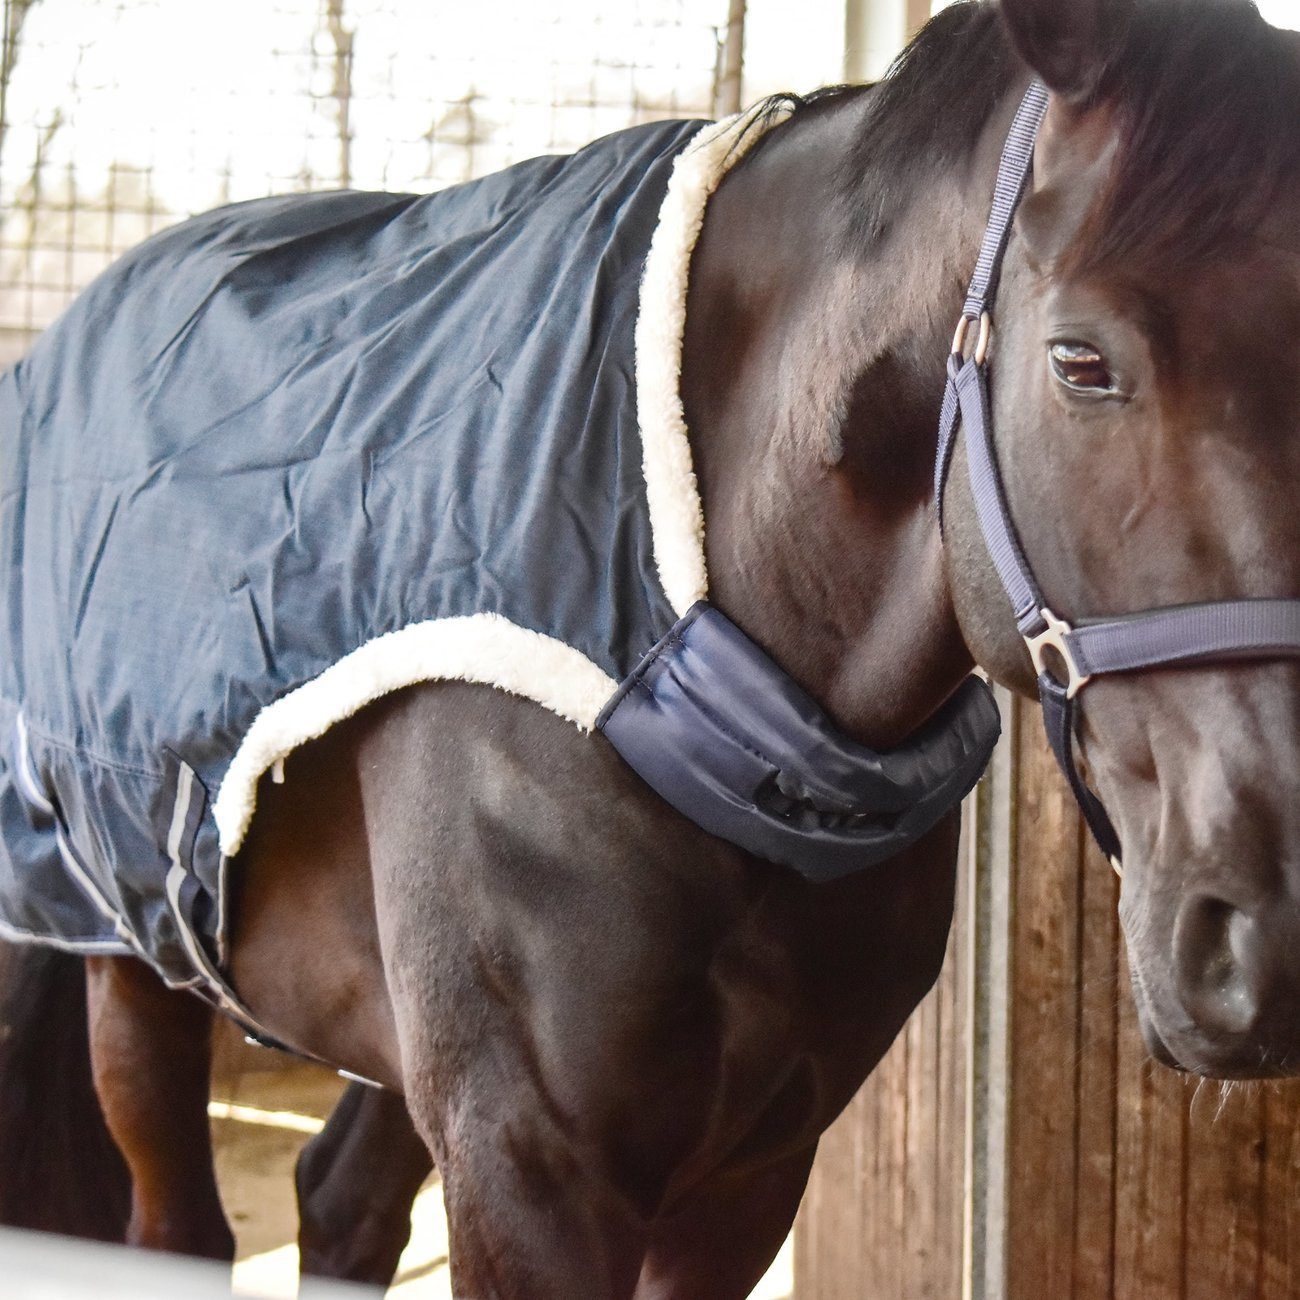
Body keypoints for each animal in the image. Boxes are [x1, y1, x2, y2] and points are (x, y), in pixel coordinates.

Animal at [2, 0, 1300, 1289]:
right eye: (1080, 360)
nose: (1275, 931)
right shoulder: (528, 1167)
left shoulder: (750, 1168)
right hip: (131, 954)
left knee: (341, 1199)